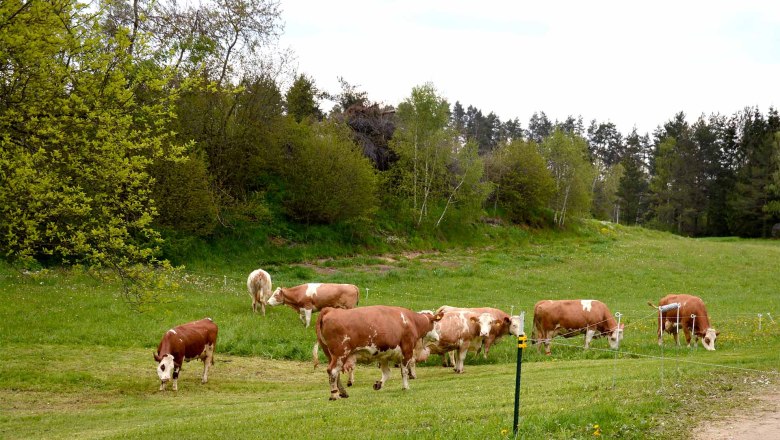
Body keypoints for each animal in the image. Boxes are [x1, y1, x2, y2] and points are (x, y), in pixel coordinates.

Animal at [314, 305, 443, 400]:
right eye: (435, 324)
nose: (438, 337)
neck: (411, 321)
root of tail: (330, 310)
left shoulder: (383, 355)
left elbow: (387, 373)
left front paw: (378, 384)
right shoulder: (407, 350)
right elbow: (404, 371)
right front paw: (405, 387)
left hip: (331, 355)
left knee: (336, 373)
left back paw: (343, 392)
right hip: (340, 353)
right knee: (333, 371)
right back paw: (334, 395)